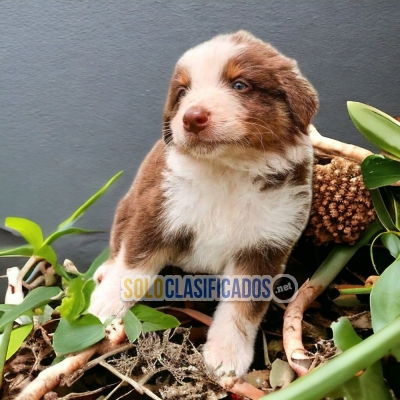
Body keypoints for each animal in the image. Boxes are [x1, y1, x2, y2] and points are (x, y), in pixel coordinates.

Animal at [89, 29, 318, 386]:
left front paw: (226, 356)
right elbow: (130, 269)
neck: (228, 171)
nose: (192, 117)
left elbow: (242, 307)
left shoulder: (266, 244)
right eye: (183, 92)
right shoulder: (157, 214)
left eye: (240, 85)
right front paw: (102, 308)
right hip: (128, 206)